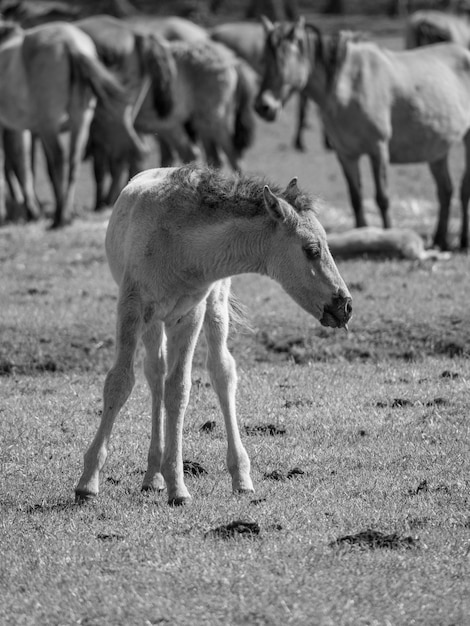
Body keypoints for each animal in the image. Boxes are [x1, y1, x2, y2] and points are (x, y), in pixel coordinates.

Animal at [0, 19, 144, 229]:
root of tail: (71, 44)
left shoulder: (15, 127)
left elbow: (17, 165)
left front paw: (28, 211)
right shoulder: (27, 128)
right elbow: (27, 165)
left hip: (50, 124)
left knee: (59, 160)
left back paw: (59, 217)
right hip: (80, 120)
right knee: (73, 160)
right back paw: (66, 215)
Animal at [74, 163, 352, 504]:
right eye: (312, 249)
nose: (345, 304)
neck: (178, 244)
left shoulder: (189, 315)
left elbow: (179, 390)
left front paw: (178, 487)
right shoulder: (131, 309)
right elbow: (120, 383)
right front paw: (88, 483)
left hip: (214, 306)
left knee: (221, 372)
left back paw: (239, 477)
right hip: (153, 322)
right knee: (155, 374)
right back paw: (152, 476)